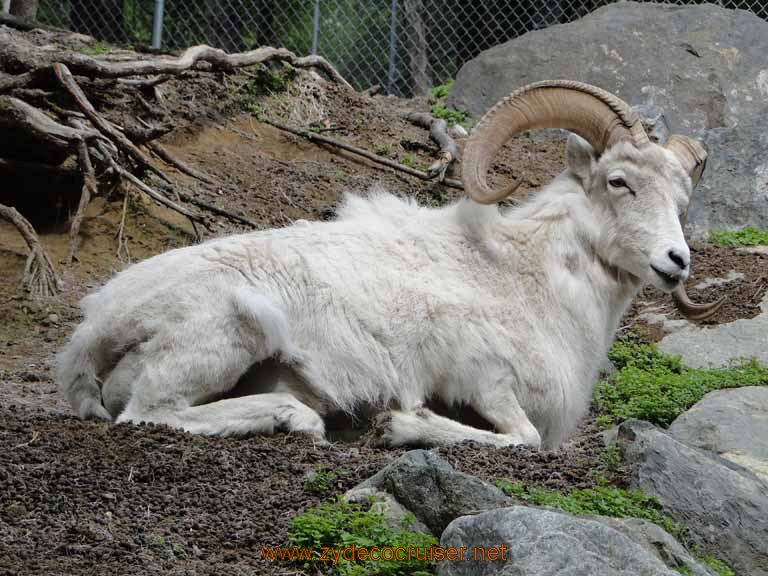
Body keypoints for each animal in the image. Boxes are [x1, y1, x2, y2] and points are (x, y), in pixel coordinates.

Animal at [57, 81, 724, 450]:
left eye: (681, 198)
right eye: (619, 181)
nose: (676, 262)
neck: (526, 277)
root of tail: (97, 327)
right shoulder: (485, 377)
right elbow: (526, 438)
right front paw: (402, 425)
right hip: (229, 330)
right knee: (152, 414)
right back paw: (301, 419)